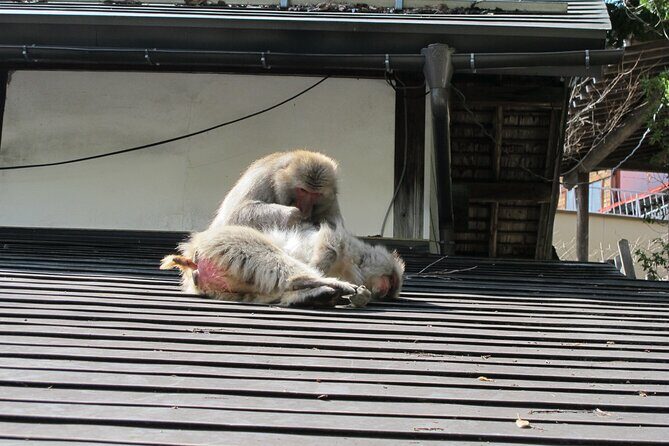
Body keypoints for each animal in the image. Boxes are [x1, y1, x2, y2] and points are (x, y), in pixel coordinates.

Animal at [209, 150, 342, 231]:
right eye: (303, 190)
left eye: (315, 194)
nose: (305, 209)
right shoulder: (262, 179)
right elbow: (234, 215)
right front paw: (291, 216)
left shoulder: (332, 204)